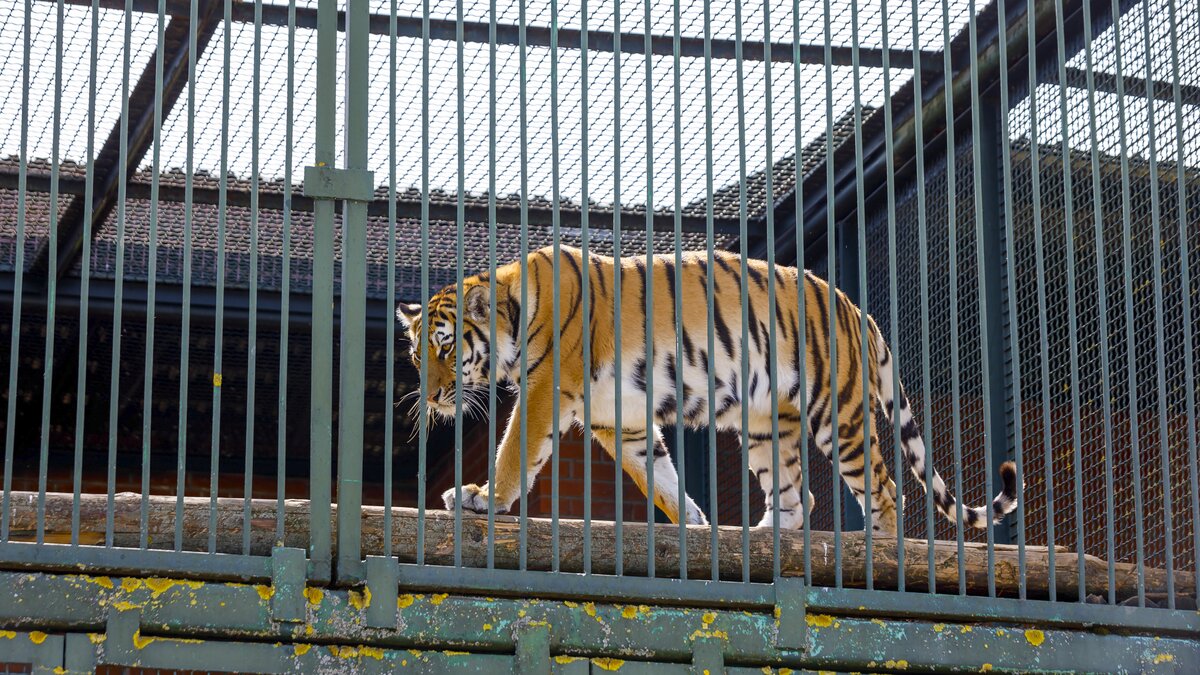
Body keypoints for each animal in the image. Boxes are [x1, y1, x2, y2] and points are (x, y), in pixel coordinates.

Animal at [398, 243, 1017, 533]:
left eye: (447, 350)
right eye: (417, 355)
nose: (430, 397)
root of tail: (857, 311)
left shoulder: (548, 391)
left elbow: (512, 453)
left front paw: (480, 498)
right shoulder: (620, 421)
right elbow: (660, 477)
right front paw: (693, 523)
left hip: (835, 412)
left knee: (886, 490)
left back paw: (883, 552)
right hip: (767, 427)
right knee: (798, 497)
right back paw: (762, 535)